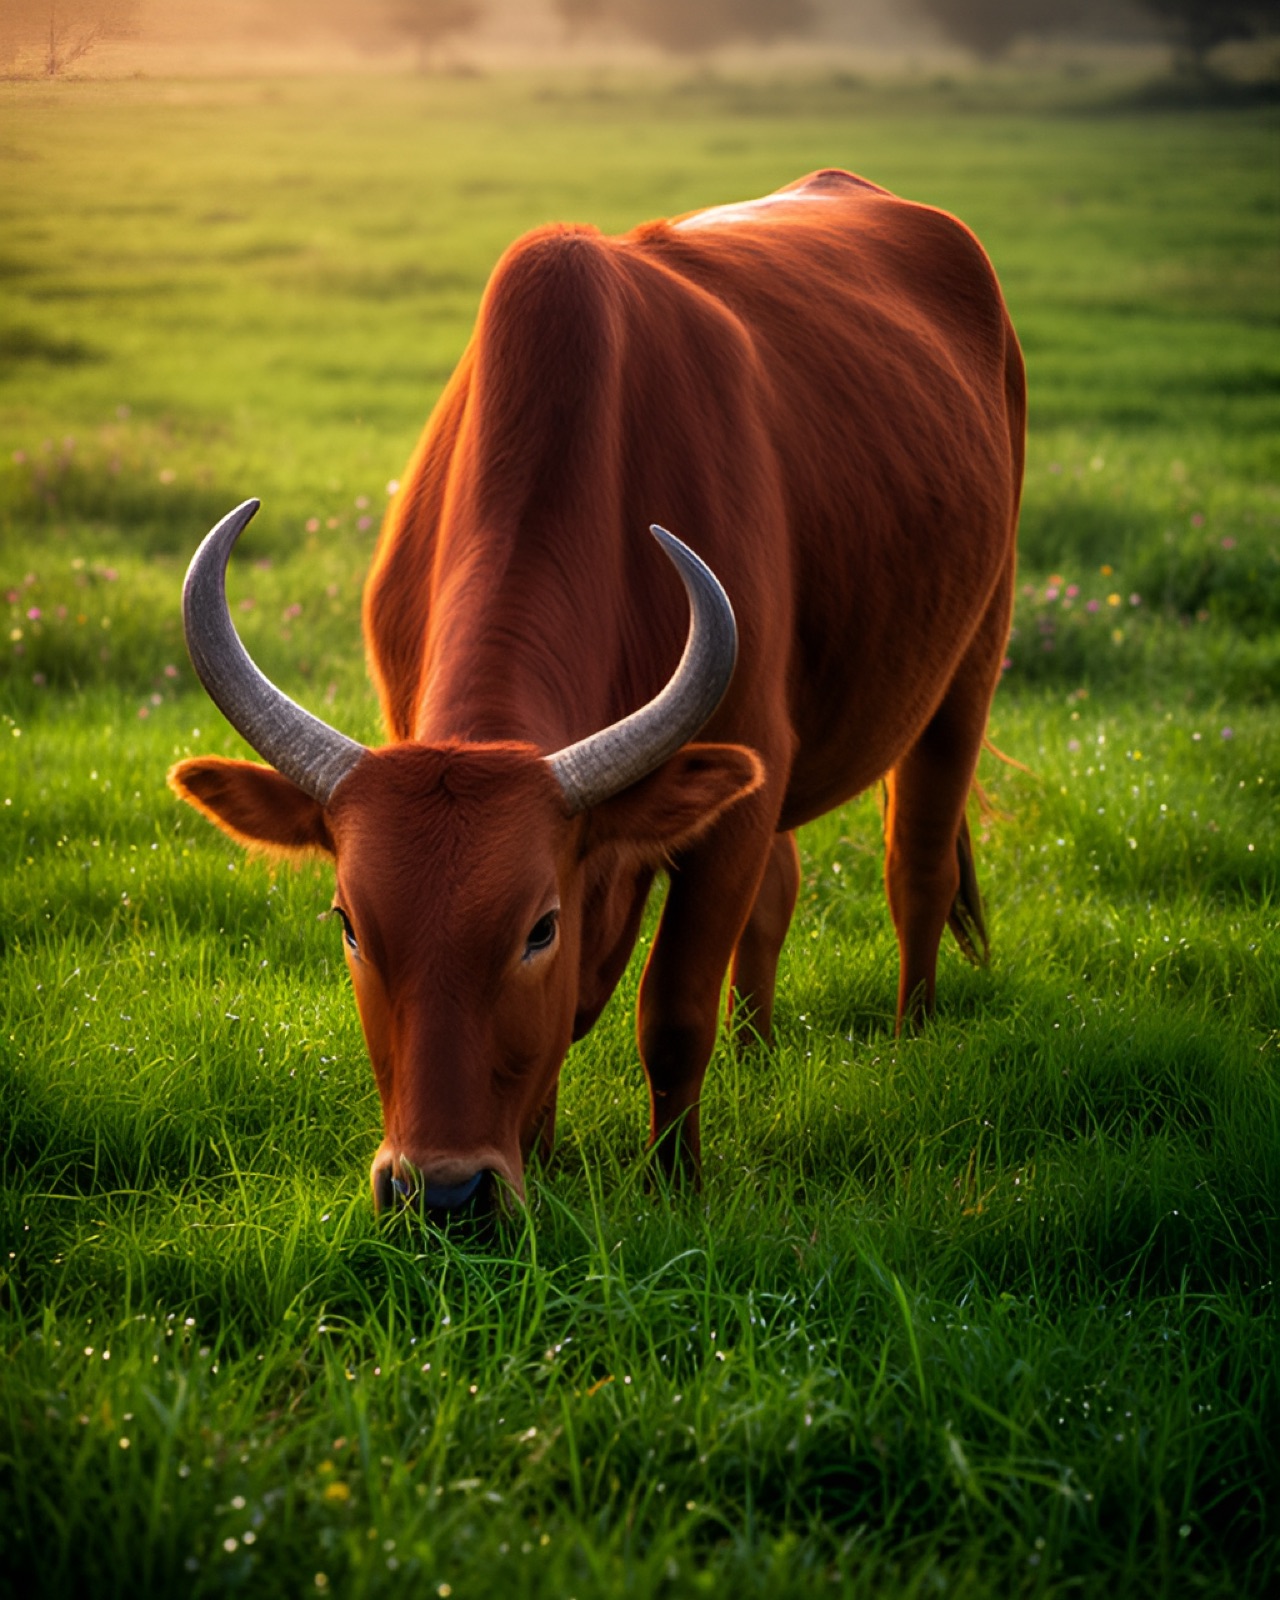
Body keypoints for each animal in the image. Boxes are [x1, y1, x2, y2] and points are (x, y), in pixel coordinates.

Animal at [169, 168, 1025, 1221]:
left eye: (539, 927)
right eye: (350, 925)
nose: (441, 1195)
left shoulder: (731, 810)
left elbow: (672, 1009)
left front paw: (673, 1180)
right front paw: (537, 1161)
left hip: (968, 665)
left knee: (919, 868)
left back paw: (911, 1035)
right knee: (783, 896)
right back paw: (759, 1059)